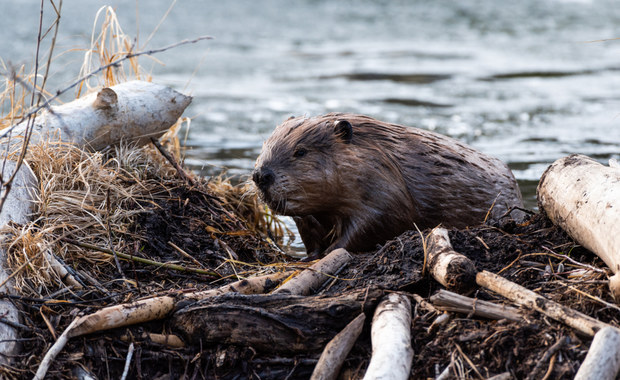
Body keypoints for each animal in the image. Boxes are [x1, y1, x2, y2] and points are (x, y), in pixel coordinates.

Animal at [252, 112, 524, 255]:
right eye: (264, 146)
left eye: (300, 151)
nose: (260, 175)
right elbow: (310, 231)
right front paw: (309, 257)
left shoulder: (385, 191)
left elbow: (372, 224)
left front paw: (331, 252)